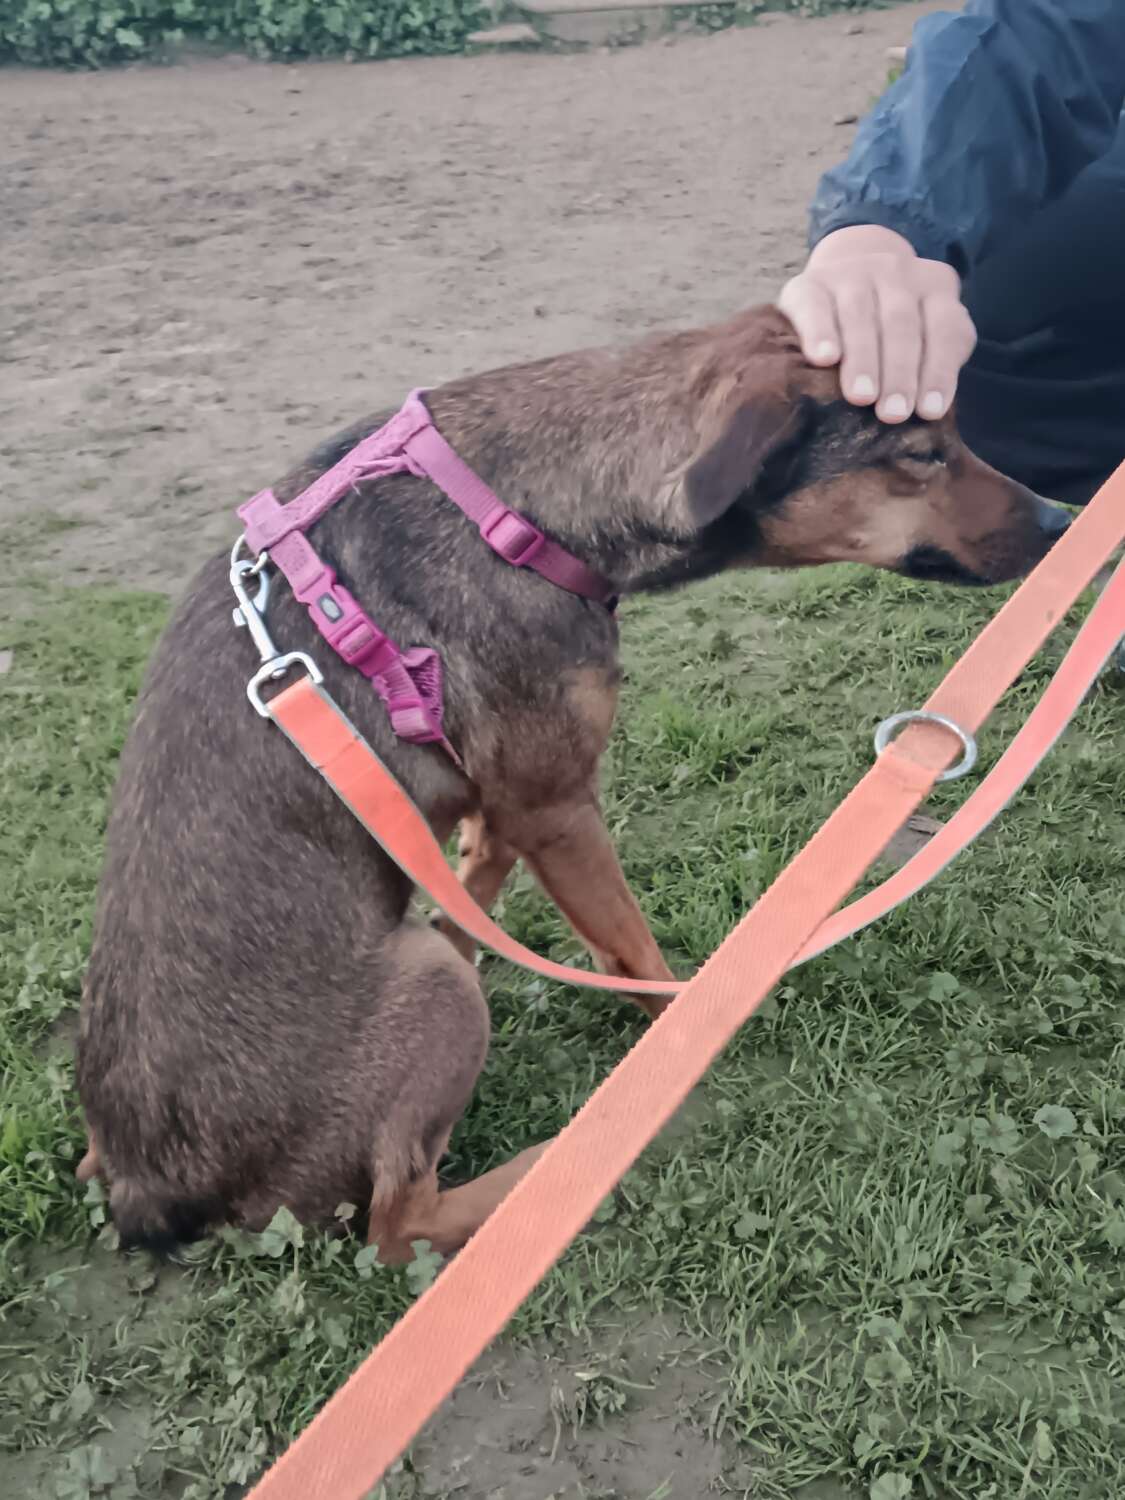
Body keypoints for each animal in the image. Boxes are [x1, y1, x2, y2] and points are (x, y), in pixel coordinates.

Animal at [75, 306, 1070, 1262]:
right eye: (919, 454)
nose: (1062, 522)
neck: (518, 514)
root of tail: (149, 1194)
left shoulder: (499, 807)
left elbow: (473, 898)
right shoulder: (557, 809)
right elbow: (635, 953)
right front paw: (673, 1040)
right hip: (430, 990)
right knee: (397, 1226)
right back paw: (538, 1174)